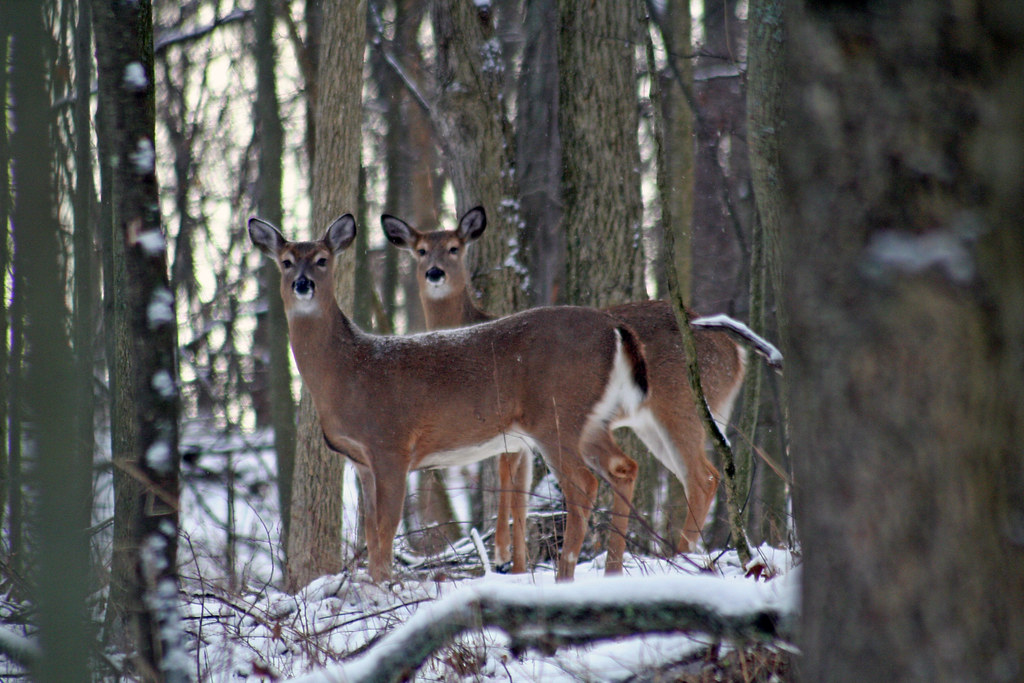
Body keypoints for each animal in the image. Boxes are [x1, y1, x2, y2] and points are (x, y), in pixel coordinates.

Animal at [248, 213, 652, 583]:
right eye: (286, 261)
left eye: (322, 259)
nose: (302, 284)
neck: (348, 372)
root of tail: (615, 328)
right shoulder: (360, 460)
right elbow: (371, 532)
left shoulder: (391, 445)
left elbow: (386, 530)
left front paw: (384, 590)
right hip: (590, 419)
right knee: (624, 467)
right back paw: (611, 571)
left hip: (556, 414)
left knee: (584, 484)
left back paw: (565, 576)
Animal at [383, 206, 764, 566]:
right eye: (420, 251)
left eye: (454, 247)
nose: (435, 273)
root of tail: (736, 355)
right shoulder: (521, 437)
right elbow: (520, 495)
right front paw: (514, 562)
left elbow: (510, 484)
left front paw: (503, 556)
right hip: (653, 423)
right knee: (691, 477)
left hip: (681, 405)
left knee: (704, 477)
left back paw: (680, 556)